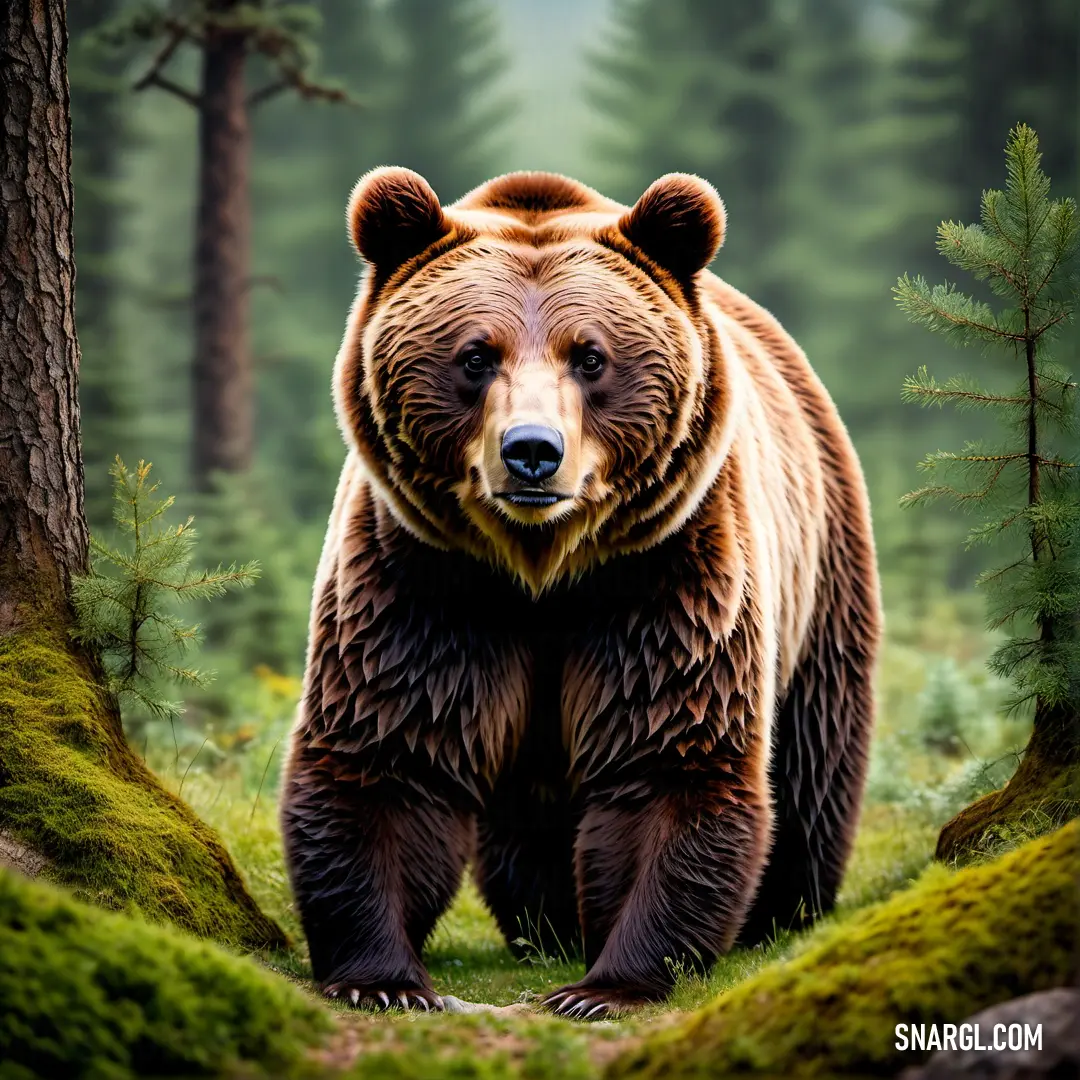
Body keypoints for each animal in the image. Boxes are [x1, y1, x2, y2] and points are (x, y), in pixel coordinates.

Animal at [282, 164, 881, 1015]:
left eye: (590, 356)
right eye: (475, 354)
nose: (532, 451)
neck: (543, 572)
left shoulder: (667, 573)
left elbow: (668, 758)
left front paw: (607, 985)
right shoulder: (421, 579)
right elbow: (388, 751)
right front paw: (382, 979)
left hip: (821, 559)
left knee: (810, 751)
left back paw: (785, 906)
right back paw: (544, 919)